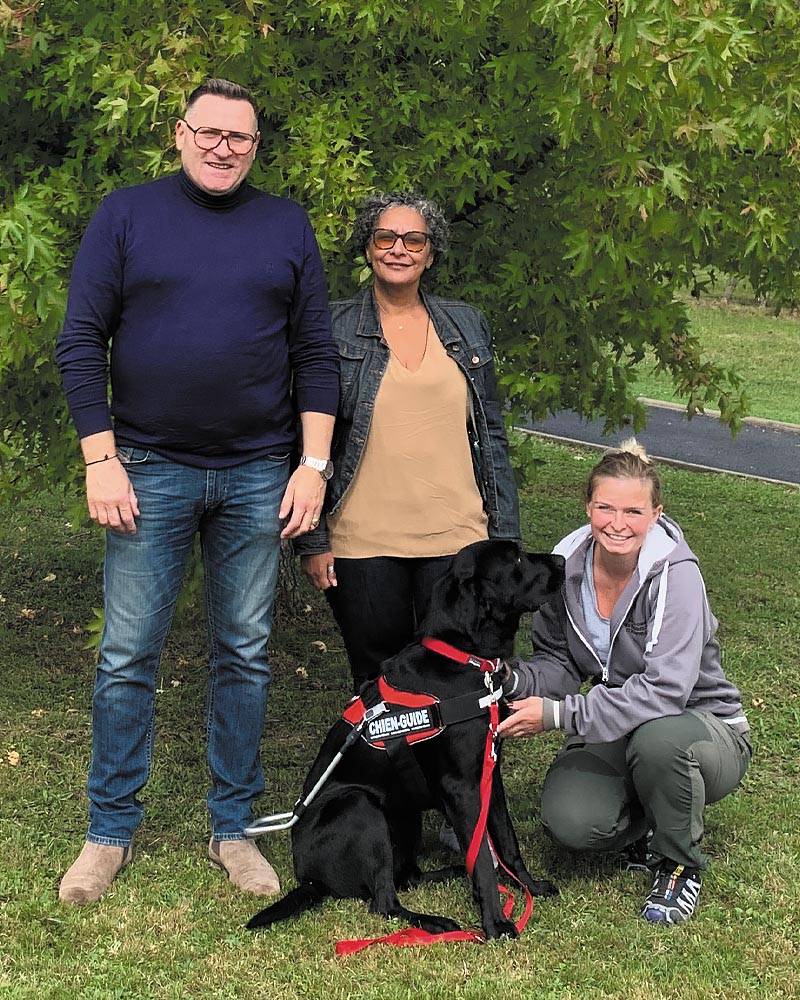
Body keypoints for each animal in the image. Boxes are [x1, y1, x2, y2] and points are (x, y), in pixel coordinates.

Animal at [247, 540, 564, 936]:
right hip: (361, 808)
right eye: (517, 559)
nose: (562, 561)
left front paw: (529, 886)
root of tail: (307, 877)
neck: (462, 659)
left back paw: (448, 875)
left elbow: (507, 842)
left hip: (404, 812)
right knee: (384, 902)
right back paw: (435, 921)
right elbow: (481, 861)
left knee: (408, 877)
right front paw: (495, 923)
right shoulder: (461, 787)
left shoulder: (490, 775)